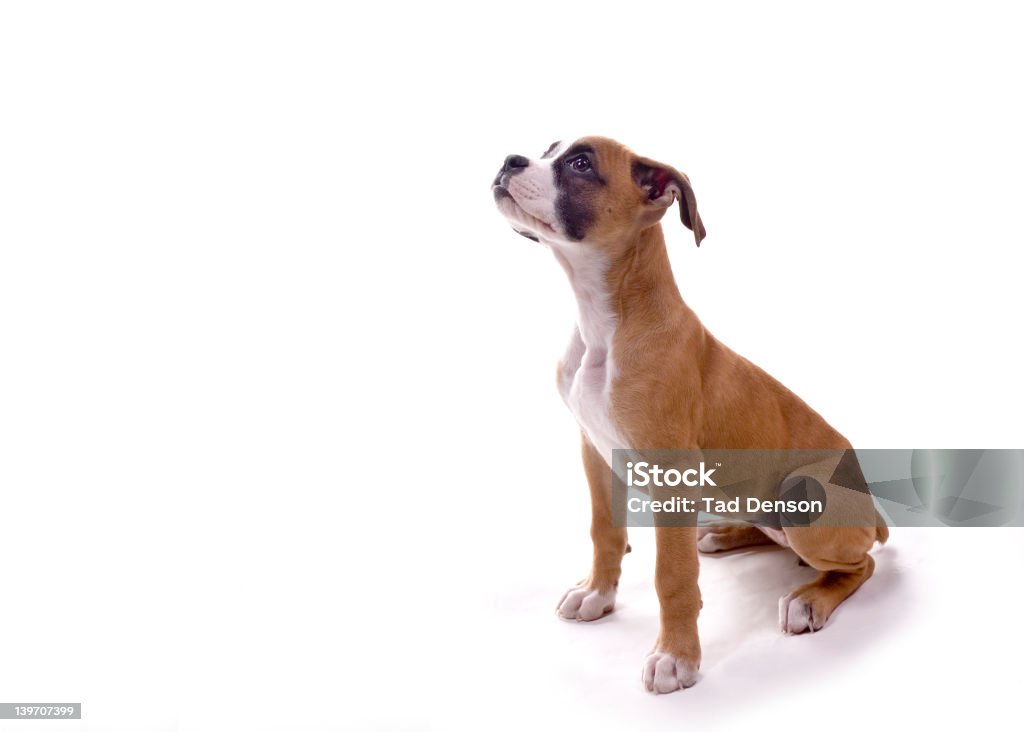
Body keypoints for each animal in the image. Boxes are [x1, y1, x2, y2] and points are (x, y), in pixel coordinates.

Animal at [489, 136, 888, 692]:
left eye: (580, 164)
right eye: (549, 149)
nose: (509, 161)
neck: (605, 325)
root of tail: (875, 514)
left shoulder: (671, 472)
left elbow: (672, 575)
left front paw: (676, 657)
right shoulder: (593, 450)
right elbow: (604, 531)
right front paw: (597, 593)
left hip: (804, 496)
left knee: (860, 564)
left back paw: (809, 600)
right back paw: (722, 533)